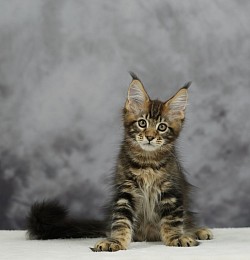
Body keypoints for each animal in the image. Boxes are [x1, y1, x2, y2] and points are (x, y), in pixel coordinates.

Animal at [27, 73, 212, 252]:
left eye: (162, 127)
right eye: (142, 123)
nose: (150, 137)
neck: (147, 162)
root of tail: (150, 235)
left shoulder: (171, 189)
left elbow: (172, 220)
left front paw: (175, 238)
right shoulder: (126, 190)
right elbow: (121, 221)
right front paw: (115, 241)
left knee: (186, 220)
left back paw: (197, 231)